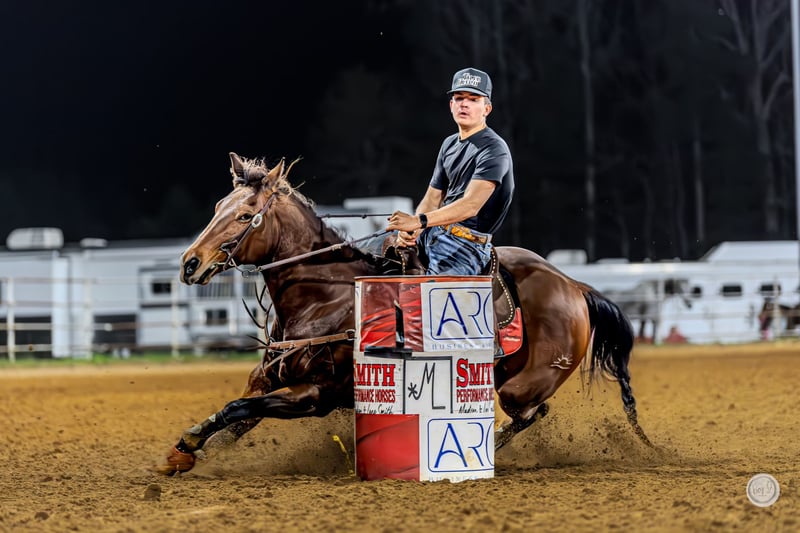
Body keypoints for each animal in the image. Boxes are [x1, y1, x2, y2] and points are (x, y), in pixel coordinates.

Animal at [157, 152, 654, 475]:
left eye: (245, 216)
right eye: (218, 207)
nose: (189, 263)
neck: (326, 297)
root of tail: (575, 287)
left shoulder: (315, 394)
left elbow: (238, 408)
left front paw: (190, 444)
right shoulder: (267, 378)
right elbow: (238, 413)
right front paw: (191, 451)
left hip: (521, 385)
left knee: (531, 413)